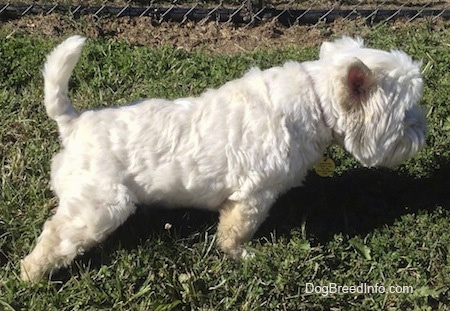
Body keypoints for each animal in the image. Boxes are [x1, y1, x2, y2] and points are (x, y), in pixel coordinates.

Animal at [20, 36, 426, 282]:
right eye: (407, 113)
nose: (421, 134)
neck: (316, 102)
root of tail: (74, 122)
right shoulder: (253, 196)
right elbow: (234, 232)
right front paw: (242, 256)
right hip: (99, 207)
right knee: (54, 238)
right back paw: (29, 277)